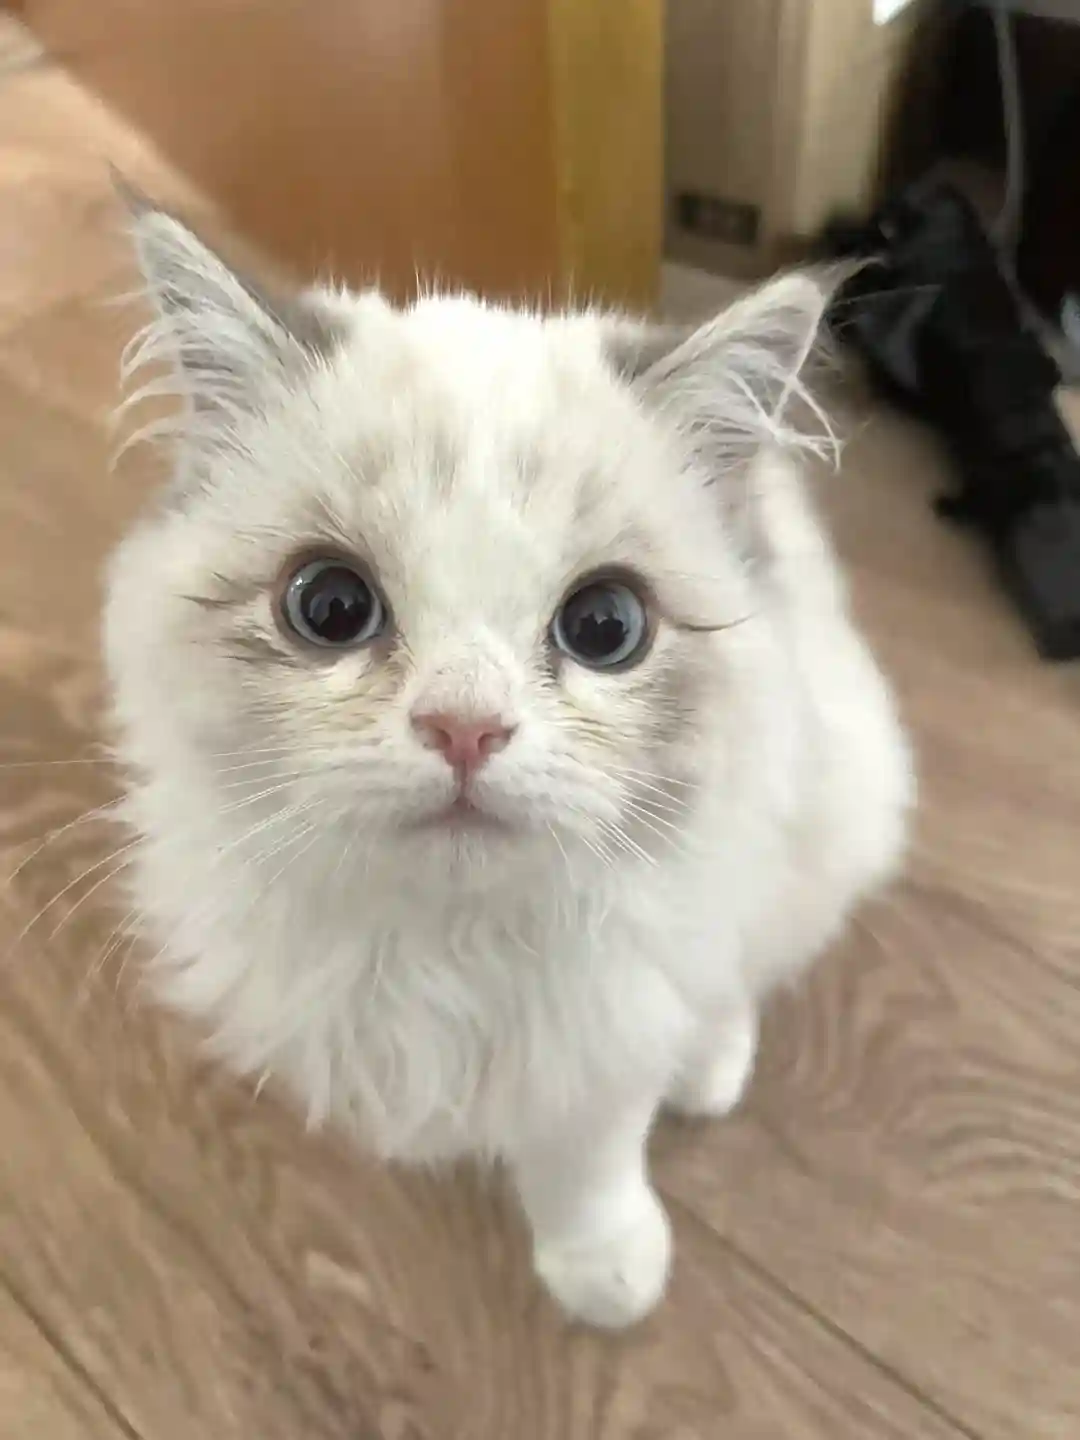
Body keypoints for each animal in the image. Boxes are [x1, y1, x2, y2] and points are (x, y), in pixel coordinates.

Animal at [104, 203, 912, 1329]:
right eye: (330, 606)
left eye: (606, 626)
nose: (465, 729)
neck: (449, 952)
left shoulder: (605, 1037)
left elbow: (592, 1160)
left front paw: (606, 1273)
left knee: (743, 972)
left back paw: (709, 1069)